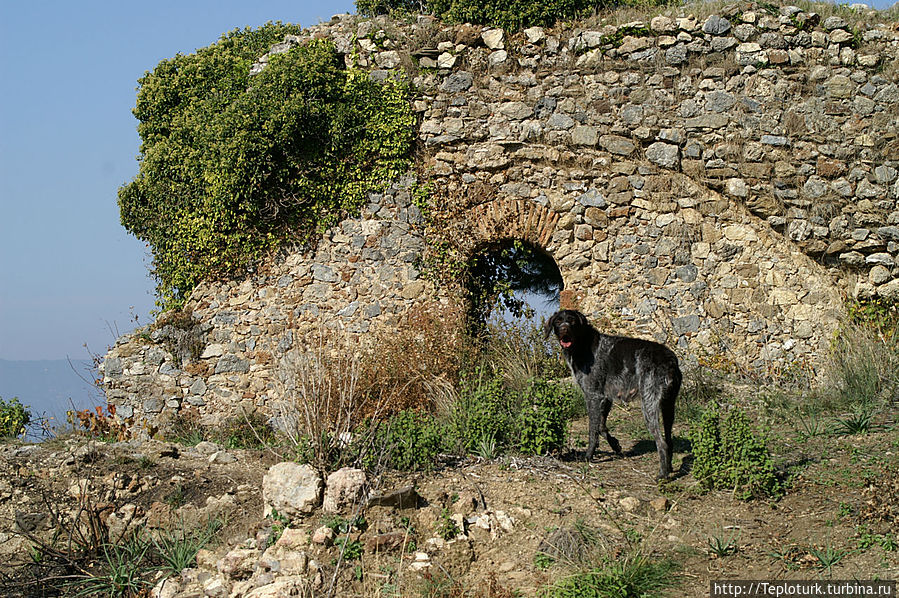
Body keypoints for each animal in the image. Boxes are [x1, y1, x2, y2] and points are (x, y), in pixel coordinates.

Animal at [548, 312, 684, 480]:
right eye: (558, 321)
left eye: (572, 320)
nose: (564, 329)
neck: (582, 344)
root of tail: (670, 359)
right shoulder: (606, 398)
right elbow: (601, 427)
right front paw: (615, 445)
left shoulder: (593, 397)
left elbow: (593, 432)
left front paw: (588, 456)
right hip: (668, 406)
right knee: (669, 441)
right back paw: (669, 468)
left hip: (649, 405)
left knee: (662, 443)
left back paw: (662, 475)